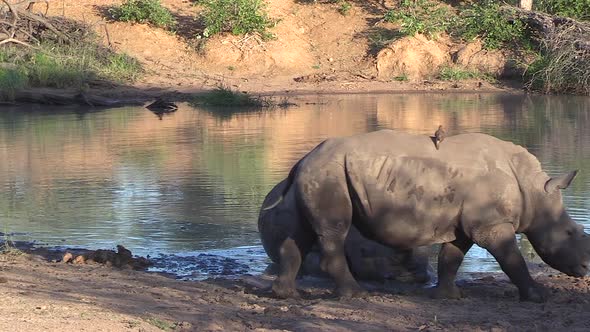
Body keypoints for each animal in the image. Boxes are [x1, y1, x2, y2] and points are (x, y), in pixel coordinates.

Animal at [264, 129, 590, 300]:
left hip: (315, 173)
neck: (535, 192)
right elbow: (513, 261)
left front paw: (448, 296)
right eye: (570, 232)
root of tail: (305, 159)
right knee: (333, 232)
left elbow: (451, 257)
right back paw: (356, 295)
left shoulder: (467, 224)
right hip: (328, 173)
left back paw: (285, 294)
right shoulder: (492, 224)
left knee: (301, 234)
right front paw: (537, 295)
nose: (587, 268)